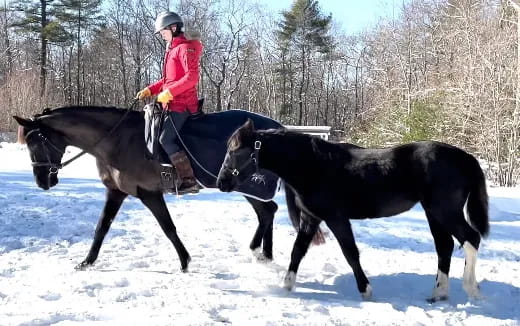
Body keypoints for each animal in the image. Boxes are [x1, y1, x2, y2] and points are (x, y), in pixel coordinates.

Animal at [13, 106, 312, 272]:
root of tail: (278, 128)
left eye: (35, 141)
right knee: (267, 211)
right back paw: (262, 253)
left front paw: (185, 262)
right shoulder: (115, 192)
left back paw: (261, 252)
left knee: (268, 210)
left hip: (247, 185)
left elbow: (168, 228)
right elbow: (101, 228)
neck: (117, 139)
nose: (42, 181)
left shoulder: (149, 194)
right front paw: (87, 262)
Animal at [216, 118, 492, 302]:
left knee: (471, 239)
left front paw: (366, 290)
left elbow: (350, 253)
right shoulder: (311, 218)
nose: (221, 182)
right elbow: (298, 251)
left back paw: (472, 289)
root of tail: (467, 158)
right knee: (444, 247)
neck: (313, 165)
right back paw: (439, 293)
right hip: (433, 213)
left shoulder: (336, 218)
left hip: (445, 211)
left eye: (234, 150)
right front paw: (286, 286)